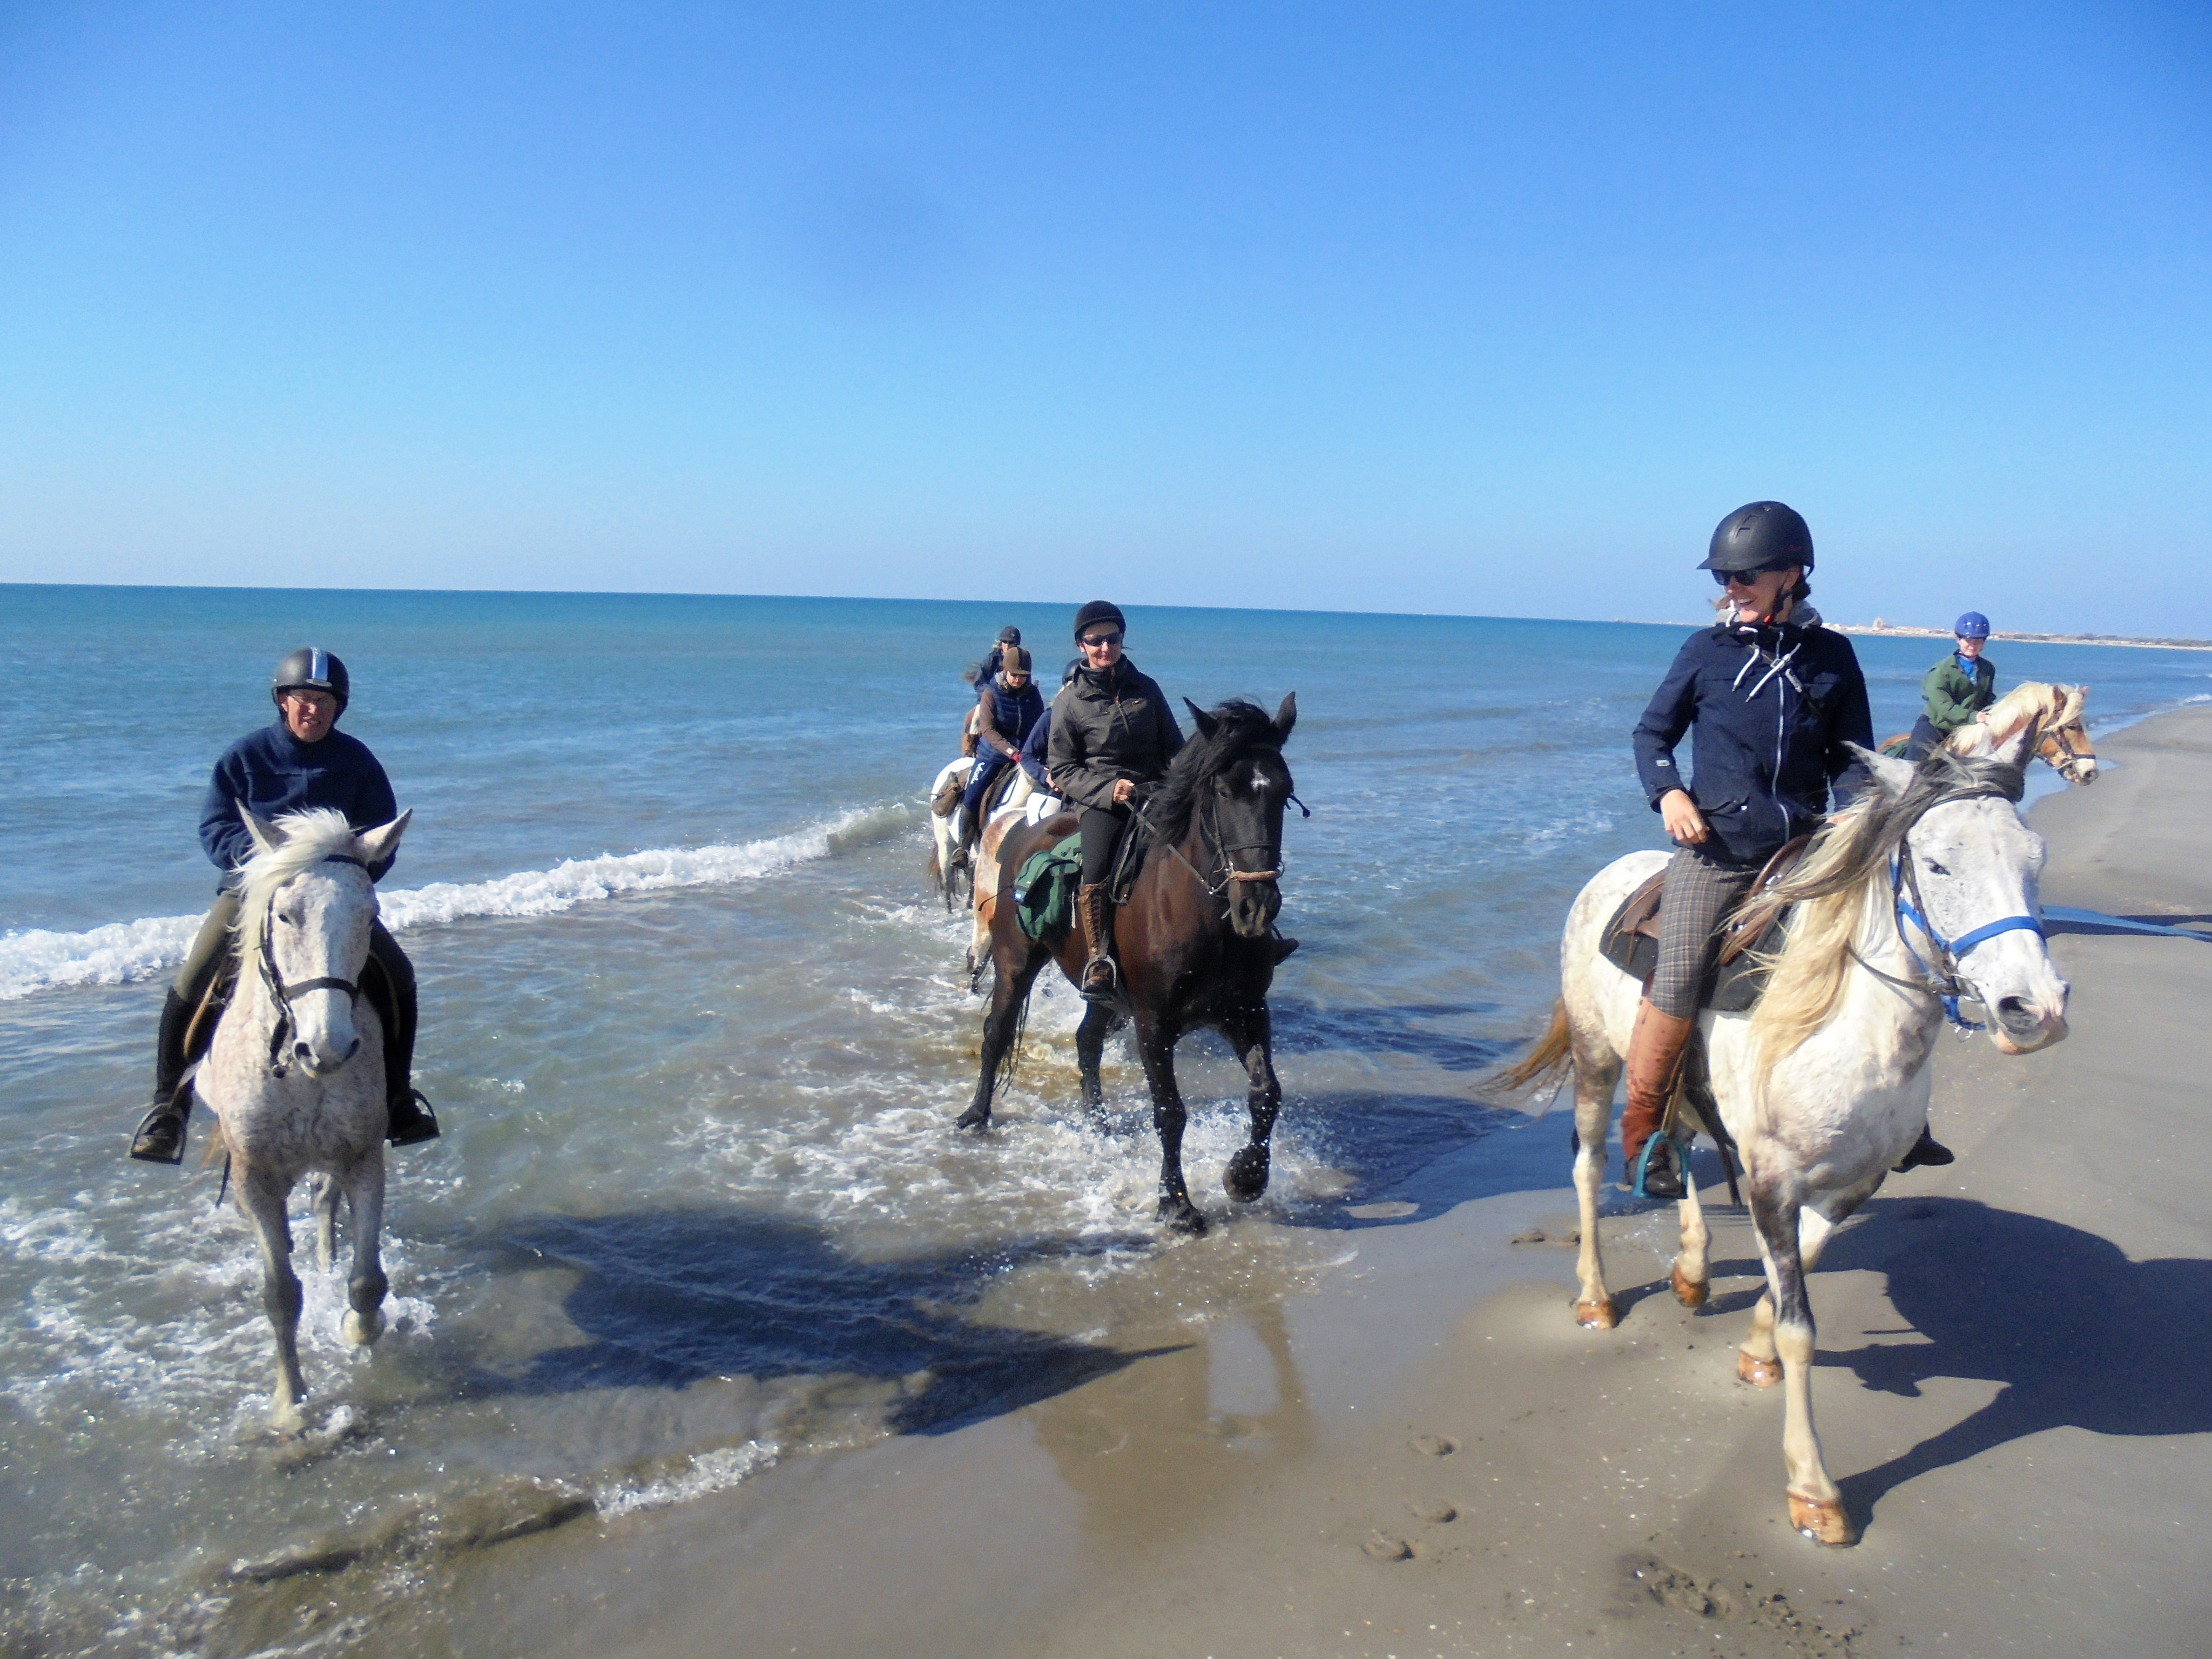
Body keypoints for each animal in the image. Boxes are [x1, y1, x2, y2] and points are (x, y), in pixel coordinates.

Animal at [194, 805, 412, 1430]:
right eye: (286, 914)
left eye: (370, 915)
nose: (329, 1048)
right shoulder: (256, 1175)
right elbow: (280, 1296)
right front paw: (290, 1404)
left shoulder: (363, 1158)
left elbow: (367, 1281)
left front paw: (358, 1331)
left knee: (322, 1203)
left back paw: (323, 1256)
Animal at [958, 696, 1298, 1236]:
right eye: (1224, 791)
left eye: (1284, 793)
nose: (1256, 907)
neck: (1202, 920)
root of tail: (1020, 832)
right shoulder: (1152, 1024)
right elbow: (1170, 1112)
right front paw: (1176, 1205)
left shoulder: (1244, 1012)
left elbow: (1267, 1093)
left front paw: (1245, 1177)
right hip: (1015, 963)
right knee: (997, 1032)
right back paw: (976, 1114)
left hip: (1104, 993)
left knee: (1087, 1041)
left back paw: (1097, 1123)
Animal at [1497, 731, 2068, 1545]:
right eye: (1937, 864)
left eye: (2035, 857)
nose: (2036, 1010)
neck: (1853, 1029)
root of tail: (1613, 872)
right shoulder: (1772, 1181)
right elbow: (1801, 1323)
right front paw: (1814, 1488)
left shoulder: (1851, 1185)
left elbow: (1798, 1266)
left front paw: (1754, 1348)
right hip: (1597, 1057)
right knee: (1587, 1167)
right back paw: (1596, 1297)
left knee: (1677, 1145)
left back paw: (1692, 1269)